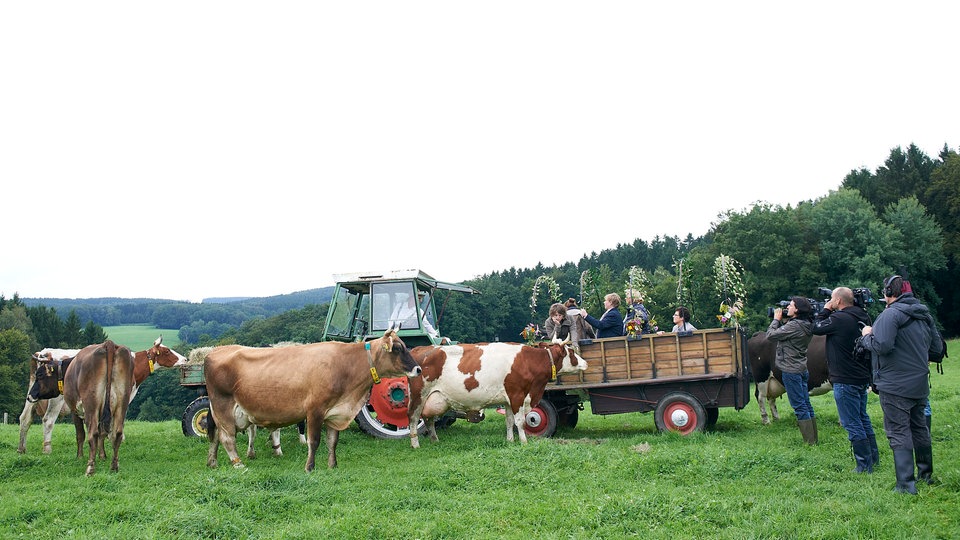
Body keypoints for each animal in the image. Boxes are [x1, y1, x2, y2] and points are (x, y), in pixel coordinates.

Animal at [21, 338, 187, 456]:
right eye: (167, 351)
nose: (185, 359)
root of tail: (43, 352)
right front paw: (116, 437)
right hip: (56, 400)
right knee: (48, 420)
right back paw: (47, 449)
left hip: (32, 395)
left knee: (25, 418)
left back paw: (21, 449)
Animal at [206, 326, 420, 470]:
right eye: (398, 348)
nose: (418, 369)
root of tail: (216, 351)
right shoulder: (315, 409)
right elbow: (314, 440)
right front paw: (310, 467)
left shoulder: (335, 412)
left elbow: (332, 441)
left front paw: (333, 465)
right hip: (223, 406)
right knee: (227, 438)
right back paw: (238, 464)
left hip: (218, 411)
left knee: (215, 436)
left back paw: (212, 462)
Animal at [404, 340, 584, 450]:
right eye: (572, 353)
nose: (585, 363)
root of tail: (421, 348)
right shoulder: (517, 394)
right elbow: (520, 421)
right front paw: (524, 442)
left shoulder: (508, 399)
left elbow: (509, 421)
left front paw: (510, 441)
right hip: (418, 396)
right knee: (413, 418)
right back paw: (415, 444)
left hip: (433, 399)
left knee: (429, 419)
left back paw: (435, 440)